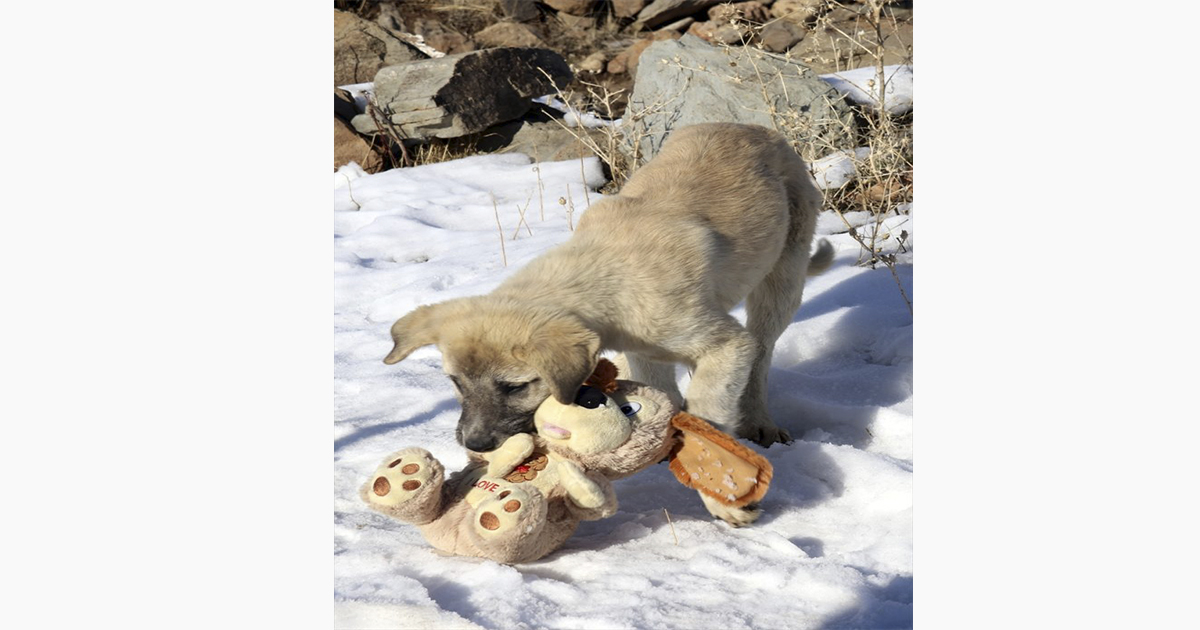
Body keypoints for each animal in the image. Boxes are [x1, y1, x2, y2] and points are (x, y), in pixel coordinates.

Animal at [381, 121, 825, 482]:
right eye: (455, 382)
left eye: (515, 386)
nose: (476, 444)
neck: (607, 275)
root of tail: (756, 129)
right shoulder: (644, 350)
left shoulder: (726, 345)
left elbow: (707, 405)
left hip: (781, 285)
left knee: (762, 355)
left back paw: (760, 423)